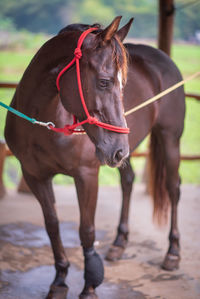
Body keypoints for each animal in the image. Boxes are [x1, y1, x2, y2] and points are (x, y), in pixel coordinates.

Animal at [5, 15, 186, 299]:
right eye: (104, 81)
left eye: (122, 84)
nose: (118, 148)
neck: (45, 124)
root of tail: (162, 57)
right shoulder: (34, 176)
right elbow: (52, 225)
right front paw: (59, 280)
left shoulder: (86, 175)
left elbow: (87, 230)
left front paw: (89, 286)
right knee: (128, 181)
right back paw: (119, 243)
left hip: (168, 139)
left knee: (172, 188)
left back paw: (172, 253)